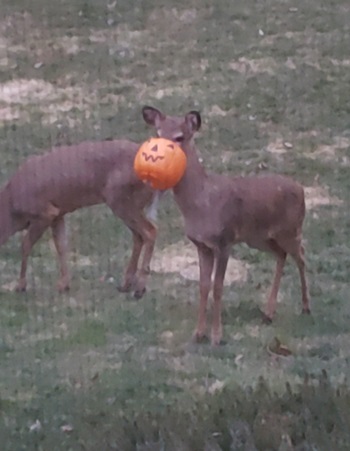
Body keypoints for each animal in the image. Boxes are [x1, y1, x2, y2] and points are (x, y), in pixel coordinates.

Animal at [0, 139, 157, 298]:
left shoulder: (44, 213)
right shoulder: (58, 214)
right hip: (130, 203)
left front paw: (20, 285)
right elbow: (61, 246)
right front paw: (63, 284)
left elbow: (25, 245)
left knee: (150, 231)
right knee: (138, 236)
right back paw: (126, 284)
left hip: (120, 199)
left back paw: (139, 288)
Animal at [141, 106, 310, 346]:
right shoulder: (202, 245)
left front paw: (216, 336)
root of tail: (301, 189)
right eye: (157, 133)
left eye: (179, 137)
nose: (159, 157)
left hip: (291, 229)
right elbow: (203, 286)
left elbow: (218, 287)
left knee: (301, 255)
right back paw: (269, 313)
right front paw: (198, 333)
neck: (201, 202)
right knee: (282, 255)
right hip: (260, 237)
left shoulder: (224, 240)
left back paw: (305, 307)